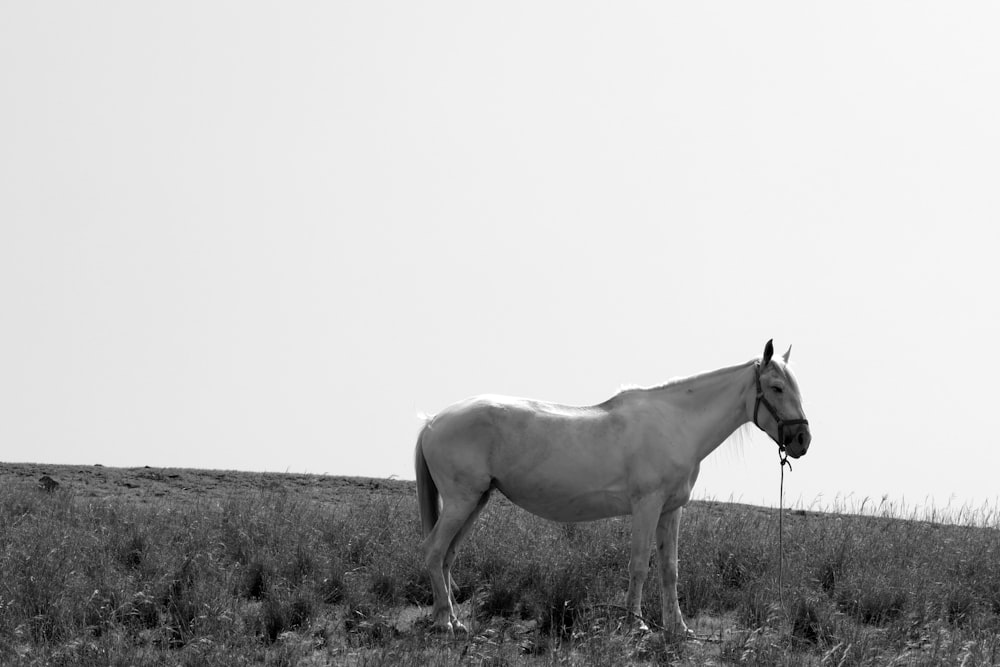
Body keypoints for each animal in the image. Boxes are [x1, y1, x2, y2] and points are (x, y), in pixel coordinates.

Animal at [414, 342, 812, 640]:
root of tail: (433, 422)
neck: (676, 424)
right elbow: (638, 565)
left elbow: (670, 568)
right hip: (462, 501)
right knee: (433, 552)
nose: (802, 440)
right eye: (776, 387)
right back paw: (445, 622)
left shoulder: (671, 510)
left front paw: (679, 628)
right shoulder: (647, 506)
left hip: (476, 501)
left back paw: (453, 618)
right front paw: (636, 624)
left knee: (447, 556)